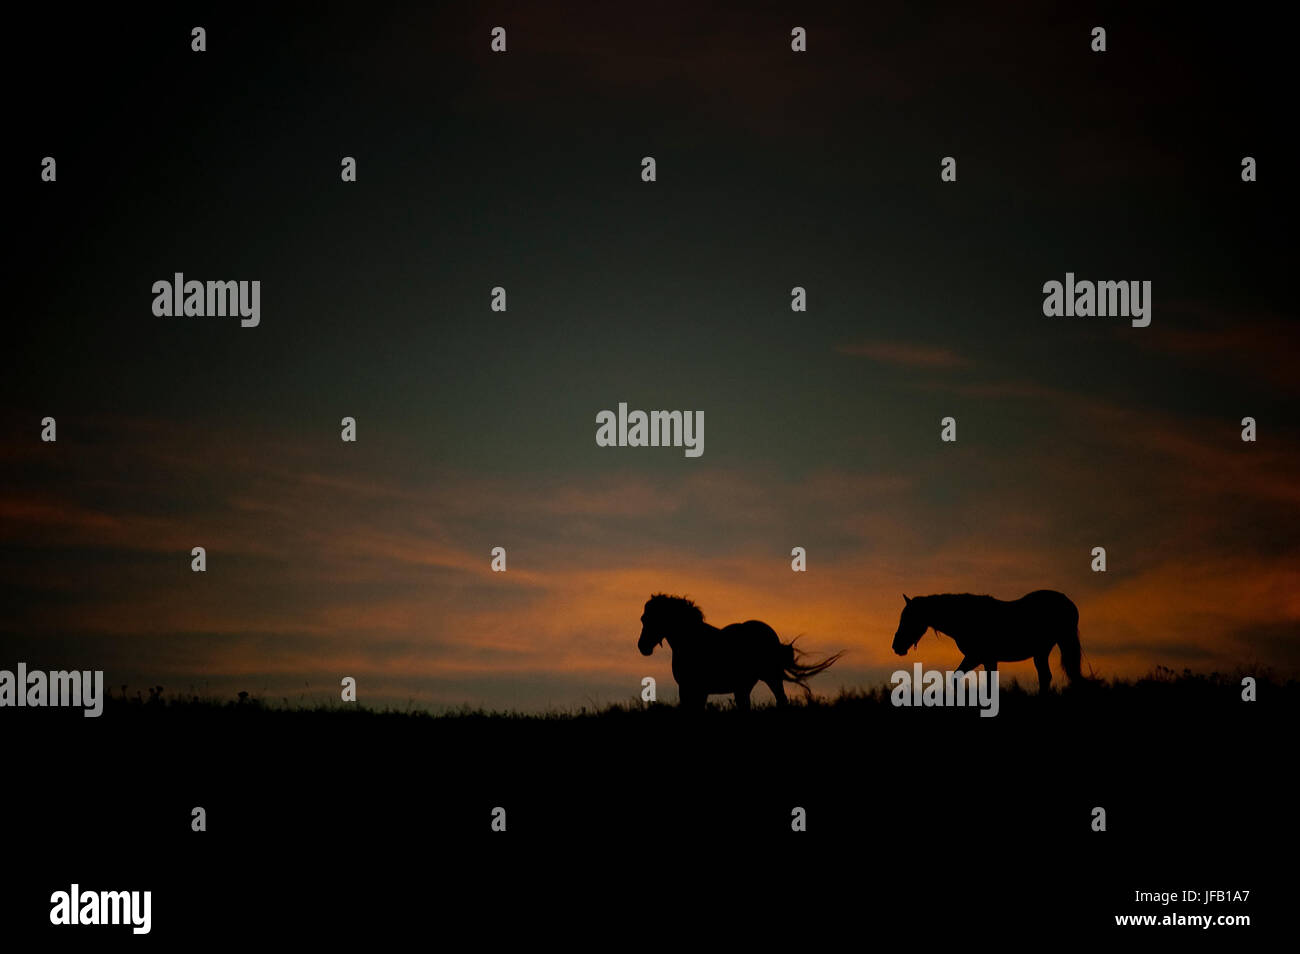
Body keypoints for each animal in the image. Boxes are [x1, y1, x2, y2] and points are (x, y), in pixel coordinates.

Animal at [637, 597, 842, 712]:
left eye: (652, 618)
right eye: (643, 618)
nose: (642, 647)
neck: (692, 640)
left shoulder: (693, 689)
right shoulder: (694, 689)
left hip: (771, 677)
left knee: (781, 700)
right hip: (745, 686)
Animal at [894, 590, 1086, 696]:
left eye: (908, 618)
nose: (896, 646)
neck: (963, 619)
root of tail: (1069, 603)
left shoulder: (978, 657)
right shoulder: (984, 659)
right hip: (1042, 652)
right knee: (1047, 676)